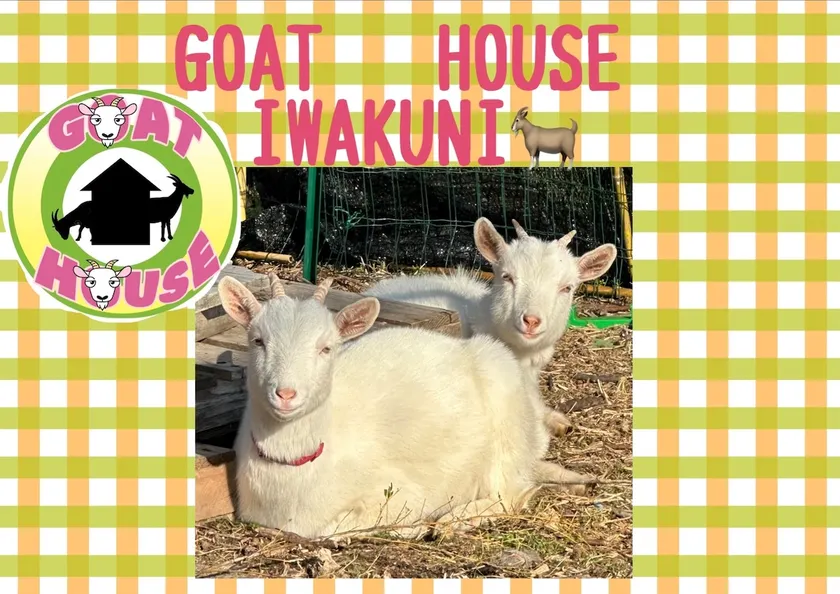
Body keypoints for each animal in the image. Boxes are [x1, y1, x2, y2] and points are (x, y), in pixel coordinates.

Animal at [218, 274, 593, 539]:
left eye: (326, 347)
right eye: (258, 340)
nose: (286, 394)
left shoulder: (403, 492)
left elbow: (333, 529)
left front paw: (417, 526)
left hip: (506, 417)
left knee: (514, 492)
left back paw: (453, 521)